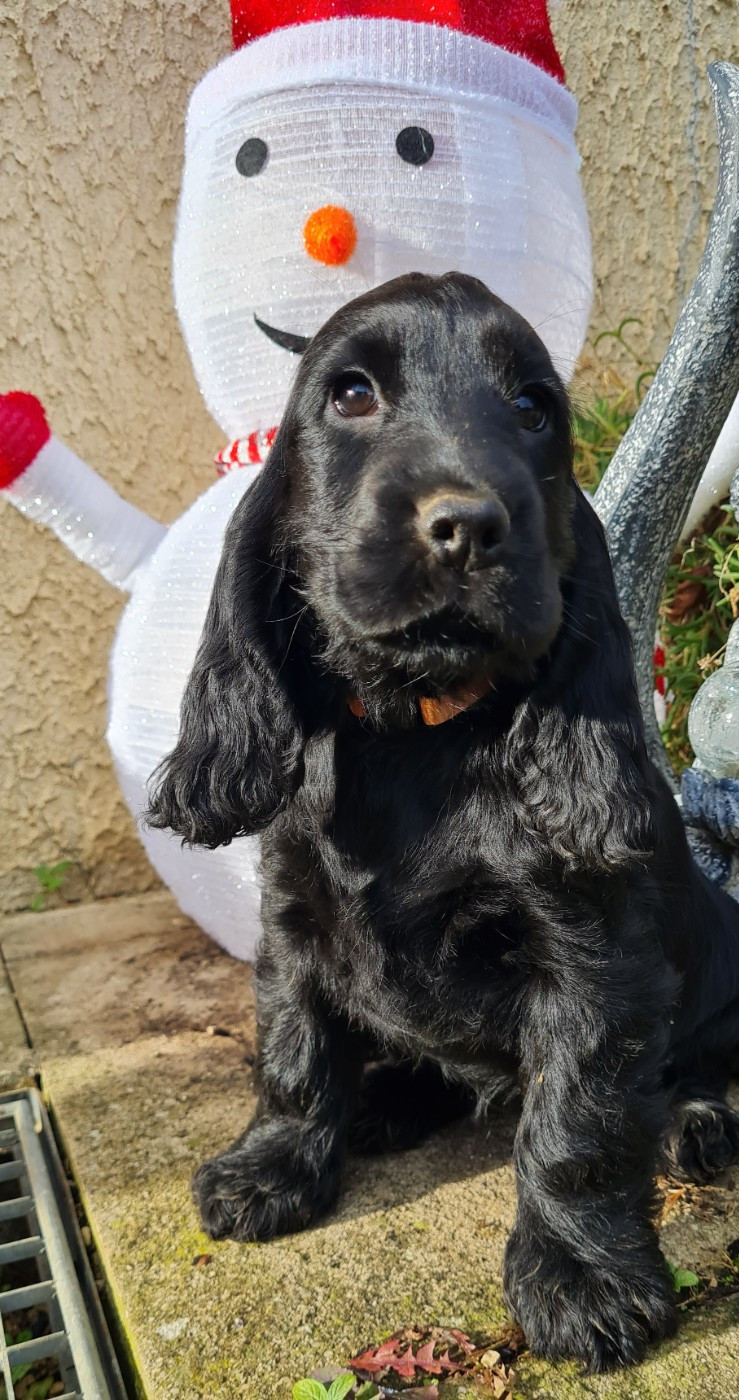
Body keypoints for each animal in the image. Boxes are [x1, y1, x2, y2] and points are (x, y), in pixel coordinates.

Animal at [148, 271, 739, 1371]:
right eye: (350, 394)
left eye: (533, 409)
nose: (466, 524)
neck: (414, 728)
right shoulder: (293, 924)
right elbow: (293, 1051)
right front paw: (272, 1166)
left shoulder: (594, 959)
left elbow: (576, 1124)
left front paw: (582, 1279)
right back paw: (382, 1103)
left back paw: (695, 1121)